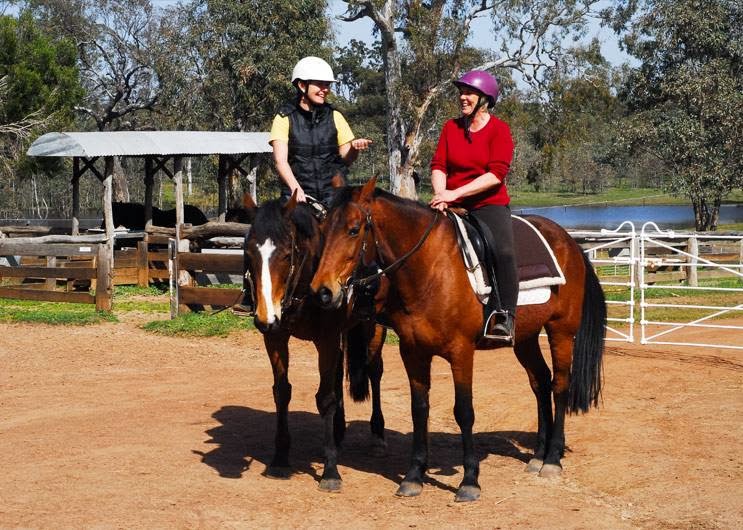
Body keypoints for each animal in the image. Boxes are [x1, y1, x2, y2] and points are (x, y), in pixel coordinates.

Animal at [244, 192, 390, 488]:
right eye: (249, 253)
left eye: (286, 254)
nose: (264, 318)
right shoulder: (276, 337)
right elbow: (282, 392)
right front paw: (280, 458)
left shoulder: (327, 338)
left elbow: (325, 398)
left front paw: (330, 470)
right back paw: (339, 430)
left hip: (374, 328)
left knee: (374, 371)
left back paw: (377, 436)